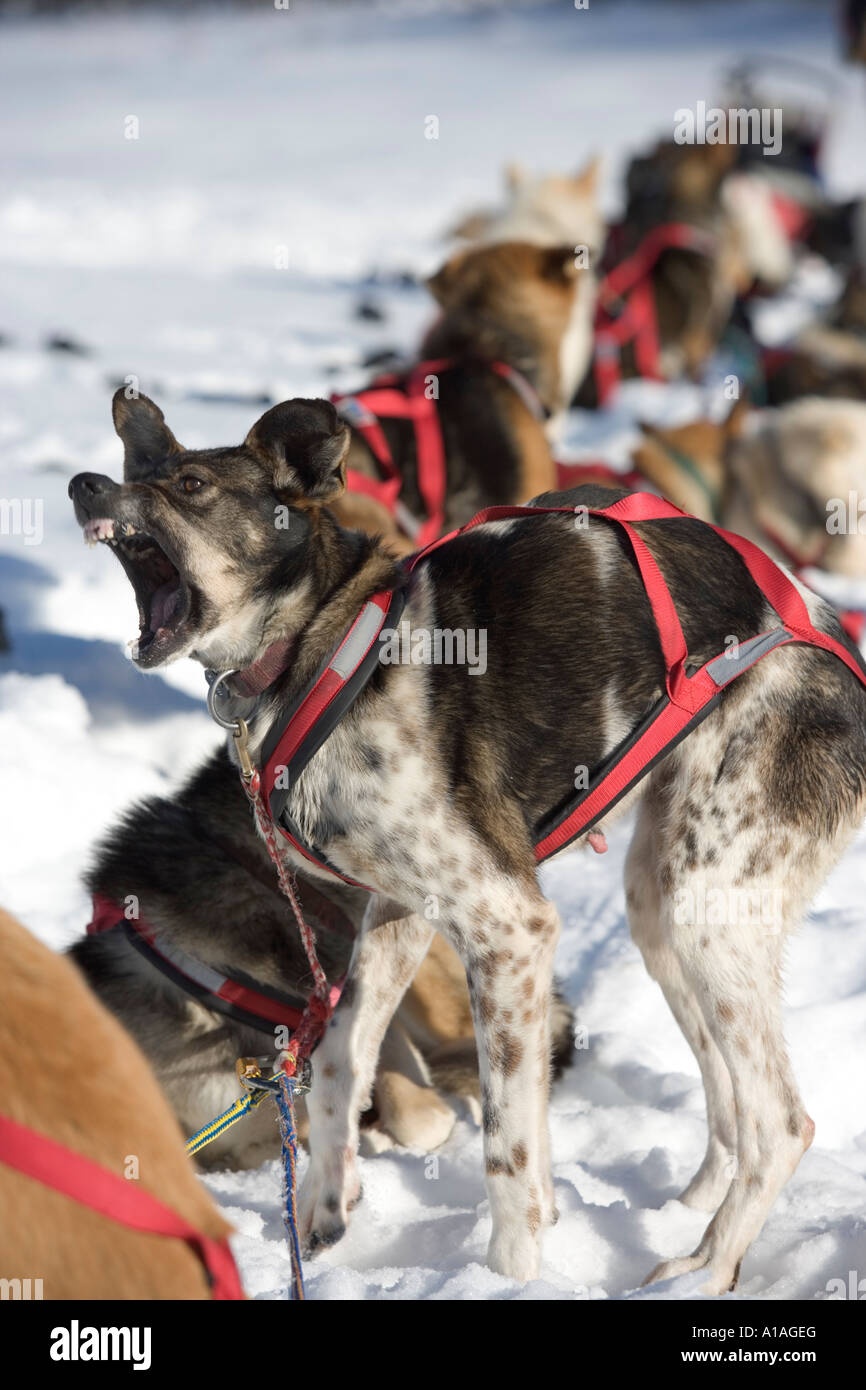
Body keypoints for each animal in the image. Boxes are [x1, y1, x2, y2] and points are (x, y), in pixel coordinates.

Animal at [71, 391, 866, 1289]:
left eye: (192, 484)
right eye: (140, 468)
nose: (84, 484)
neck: (326, 650)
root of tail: (830, 638)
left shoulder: (509, 929)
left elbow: (507, 1146)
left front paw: (510, 1273)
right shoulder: (399, 913)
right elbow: (341, 1055)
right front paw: (326, 1203)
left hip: (709, 912)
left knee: (781, 1123)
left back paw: (704, 1268)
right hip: (662, 909)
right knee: (729, 1103)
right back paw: (695, 1227)